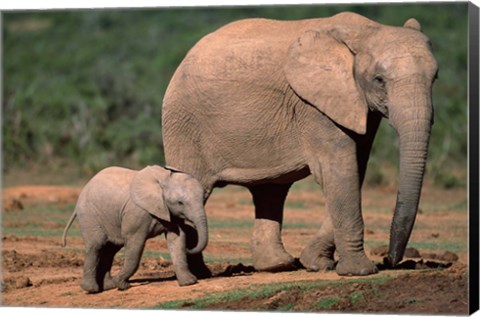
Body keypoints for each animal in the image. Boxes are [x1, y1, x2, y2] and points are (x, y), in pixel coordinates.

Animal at [62, 164, 208, 292]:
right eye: (180, 203)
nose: (190, 248)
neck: (162, 179)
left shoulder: (170, 212)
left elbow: (177, 239)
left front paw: (189, 282)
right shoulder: (137, 213)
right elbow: (135, 244)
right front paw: (122, 285)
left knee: (111, 248)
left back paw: (109, 286)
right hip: (89, 214)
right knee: (96, 245)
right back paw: (92, 289)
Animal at [162, 11, 438, 276]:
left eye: (435, 78)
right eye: (379, 80)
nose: (391, 260)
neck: (365, 31)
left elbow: (355, 168)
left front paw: (316, 264)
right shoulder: (313, 104)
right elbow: (338, 170)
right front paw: (360, 272)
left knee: (270, 190)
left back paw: (277, 266)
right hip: (184, 123)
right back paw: (202, 274)